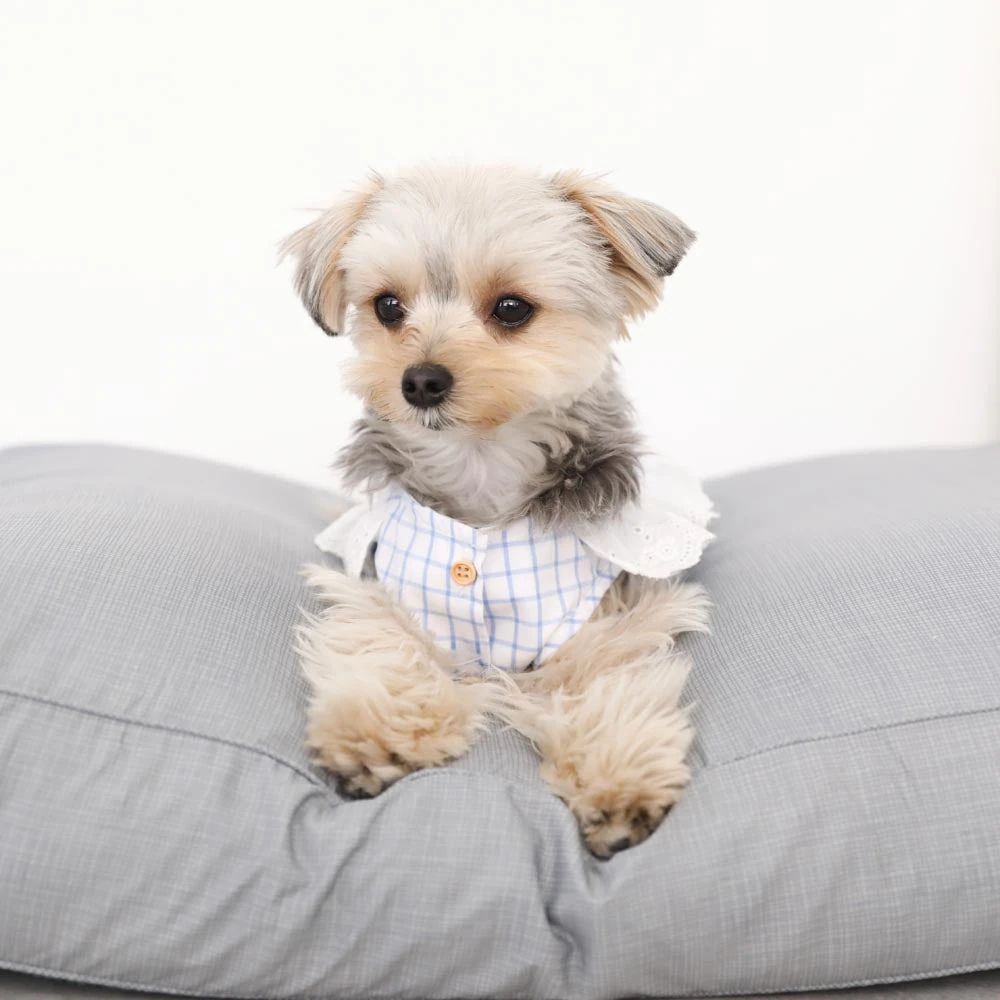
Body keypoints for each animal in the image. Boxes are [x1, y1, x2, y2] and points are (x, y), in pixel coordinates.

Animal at [283, 164, 713, 858]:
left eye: (512, 309)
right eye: (387, 306)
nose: (420, 381)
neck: (482, 468)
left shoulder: (609, 615)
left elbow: (601, 675)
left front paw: (617, 779)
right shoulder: (383, 590)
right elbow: (386, 641)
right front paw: (377, 734)